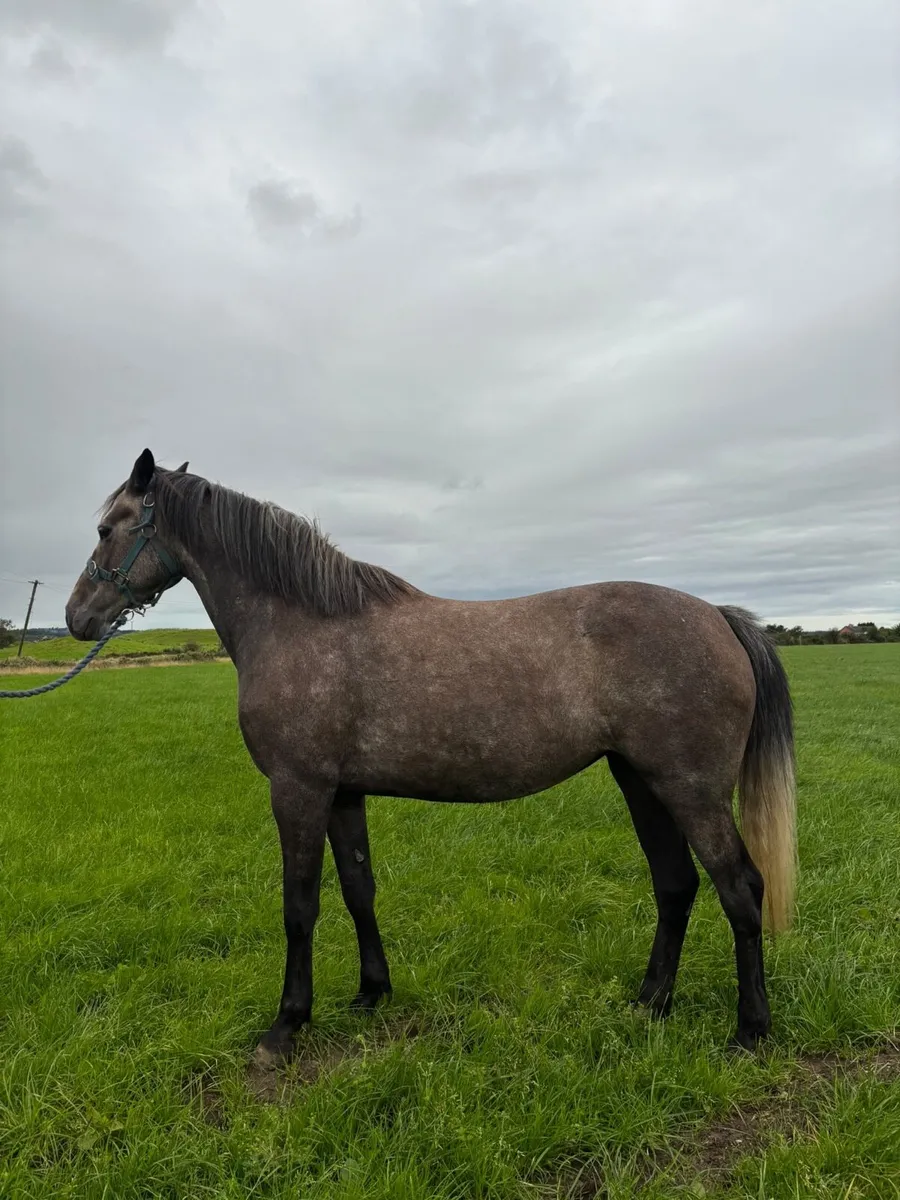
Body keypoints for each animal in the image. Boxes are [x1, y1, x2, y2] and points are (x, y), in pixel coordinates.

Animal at [66, 449, 796, 1064]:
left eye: (106, 528)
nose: (76, 617)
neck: (301, 623)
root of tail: (718, 616)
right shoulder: (342, 793)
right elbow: (358, 890)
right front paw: (370, 992)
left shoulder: (298, 790)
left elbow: (299, 907)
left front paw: (285, 1027)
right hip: (641, 780)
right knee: (676, 885)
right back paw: (649, 1004)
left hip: (690, 788)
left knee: (739, 887)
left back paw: (750, 1030)